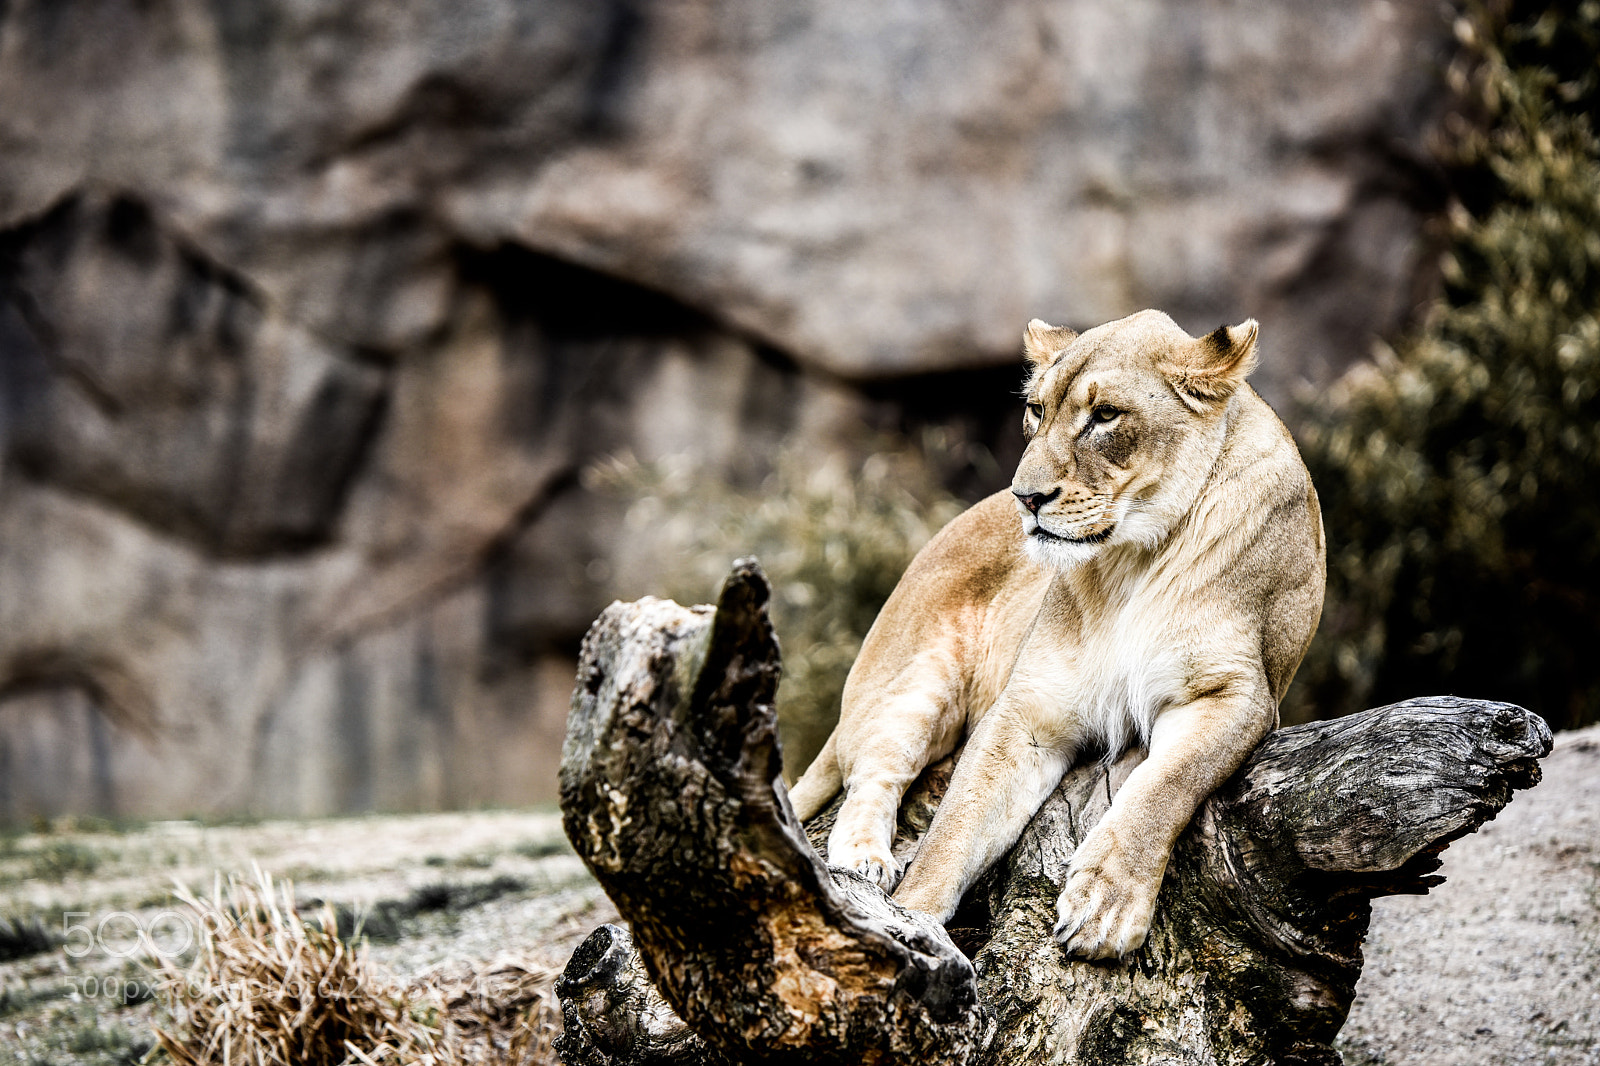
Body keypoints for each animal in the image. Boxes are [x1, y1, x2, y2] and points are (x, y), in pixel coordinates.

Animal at [787, 309, 1325, 959]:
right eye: (1037, 410)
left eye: (1106, 415)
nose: (1026, 497)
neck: (1132, 558)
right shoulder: (1028, 709)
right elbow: (956, 829)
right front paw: (915, 920)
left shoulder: (1238, 693)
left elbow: (1164, 785)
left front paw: (1104, 906)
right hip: (915, 677)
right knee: (872, 770)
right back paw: (863, 858)